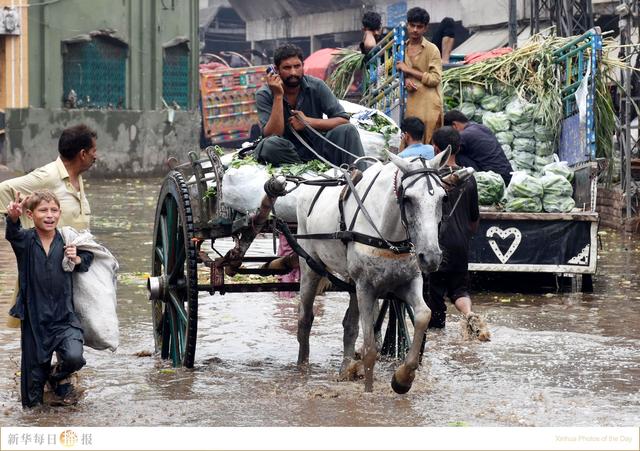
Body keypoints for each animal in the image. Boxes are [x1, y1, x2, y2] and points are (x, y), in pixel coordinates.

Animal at [296, 150, 450, 394]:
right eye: (408, 198)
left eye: (443, 198)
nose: (431, 256)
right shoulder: (366, 288)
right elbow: (370, 348)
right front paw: (369, 391)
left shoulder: (409, 281)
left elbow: (423, 315)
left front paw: (403, 378)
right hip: (310, 266)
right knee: (305, 319)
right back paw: (302, 367)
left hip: (352, 282)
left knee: (349, 325)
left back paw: (346, 369)